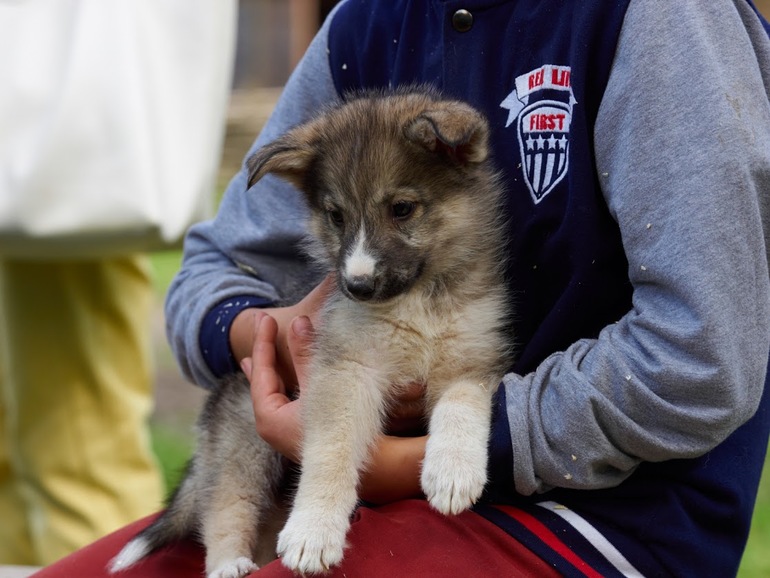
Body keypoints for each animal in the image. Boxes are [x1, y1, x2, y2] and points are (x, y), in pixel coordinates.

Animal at [109, 87, 512, 577]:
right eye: (336, 216)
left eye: (401, 209)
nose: (357, 286)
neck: (418, 302)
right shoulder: (347, 369)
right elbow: (330, 452)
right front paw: (313, 532)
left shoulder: (471, 358)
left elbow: (460, 407)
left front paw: (452, 472)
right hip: (244, 439)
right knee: (224, 503)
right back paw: (228, 562)